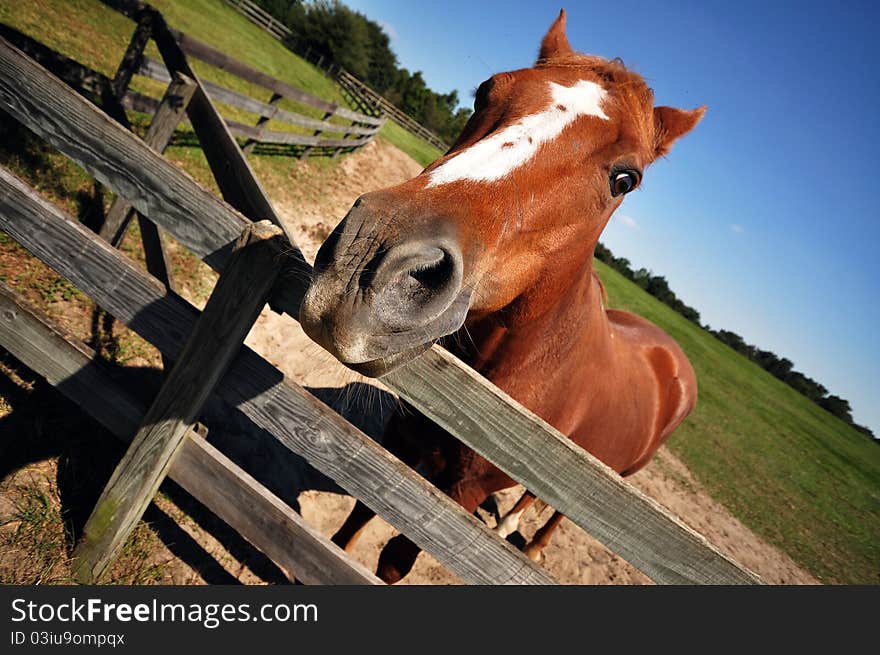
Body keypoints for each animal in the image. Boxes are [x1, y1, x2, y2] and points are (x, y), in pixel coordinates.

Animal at [300, 11, 700, 584]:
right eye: (485, 92)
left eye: (626, 178)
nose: (369, 260)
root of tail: (672, 357)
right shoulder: (403, 437)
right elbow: (359, 513)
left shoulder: (462, 491)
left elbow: (397, 557)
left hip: (619, 475)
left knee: (558, 509)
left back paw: (528, 541)